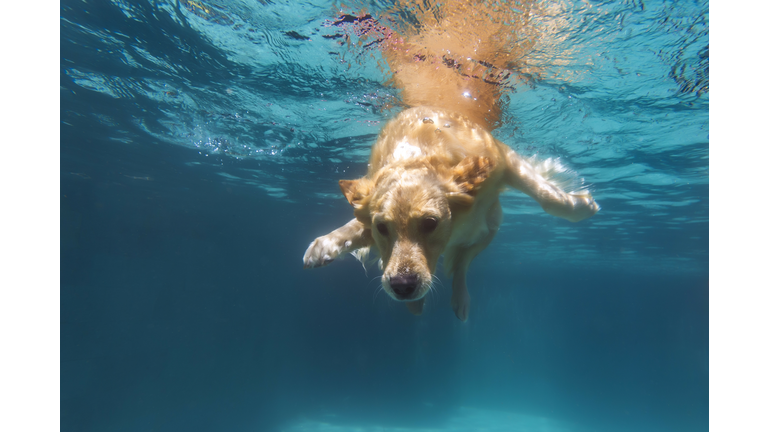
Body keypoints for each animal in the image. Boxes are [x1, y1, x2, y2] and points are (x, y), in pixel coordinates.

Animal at [300, 0, 600, 320]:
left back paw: (458, 298)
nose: (402, 286)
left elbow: (545, 195)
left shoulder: (501, 158)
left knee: (463, 264)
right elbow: (359, 225)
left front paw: (581, 206)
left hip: (489, 228)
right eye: (382, 227)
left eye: (430, 223)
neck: (417, 154)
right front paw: (325, 244)